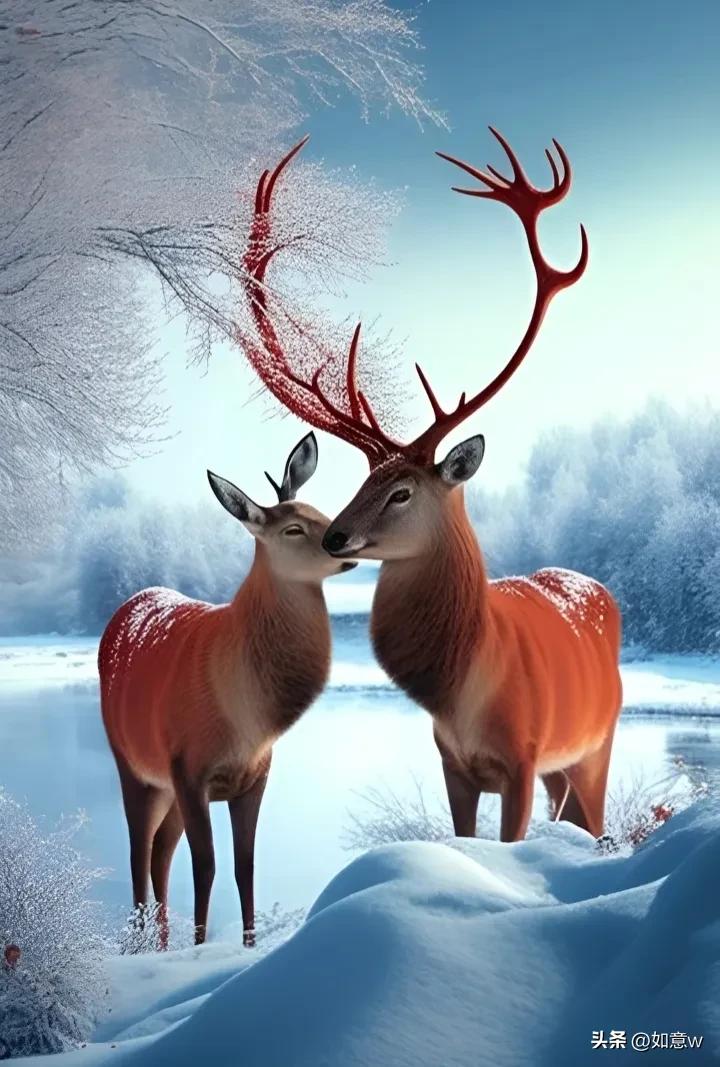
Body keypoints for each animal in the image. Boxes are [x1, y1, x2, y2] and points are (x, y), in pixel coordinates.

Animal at [98, 433, 355, 946]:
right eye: (293, 529)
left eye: (319, 509)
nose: (343, 541)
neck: (246, 722)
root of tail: (127, 605)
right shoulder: (189, 768)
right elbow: (207, 867)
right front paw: (199, 950)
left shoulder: (254, 776)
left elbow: (245, 867)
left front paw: (247, 946)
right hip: (133, 763)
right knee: (139, 853)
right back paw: (142, 946)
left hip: (166, 786)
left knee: (160, 851)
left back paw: (161, 943)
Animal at [233, 128, 622, 844]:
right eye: (364, 479)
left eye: (403, 491)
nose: (335, 537)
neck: (464, 690)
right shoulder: (451, 762)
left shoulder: (523, 758)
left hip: (596, 743)